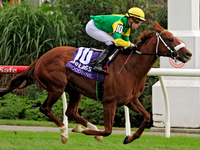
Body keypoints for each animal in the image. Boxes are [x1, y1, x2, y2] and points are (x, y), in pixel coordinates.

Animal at [0, 22, 192, 144]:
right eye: (171, 39)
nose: (188, 54)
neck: (131, 68)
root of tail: (40, 59)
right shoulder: (110, 102)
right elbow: (108, 130)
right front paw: (84, 132)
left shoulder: (130, 100)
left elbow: (146, 117)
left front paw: (129, 138)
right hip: (56, 87)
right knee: (45, 108)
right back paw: (65, 132)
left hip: (75, 90)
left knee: (70, 111)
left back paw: (85, 129)